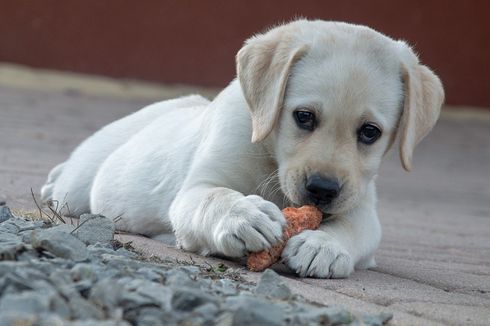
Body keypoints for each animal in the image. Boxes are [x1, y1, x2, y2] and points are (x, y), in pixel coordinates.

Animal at [41, 19, 444, 278]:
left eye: (370, 132)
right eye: (304, 117)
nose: (322, 190)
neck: (271, 158)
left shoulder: (362, 206)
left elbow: (354, 228)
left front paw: (324, 246)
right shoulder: (195, 190)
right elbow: (215, 197)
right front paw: (244, 216)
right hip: (79, 185)